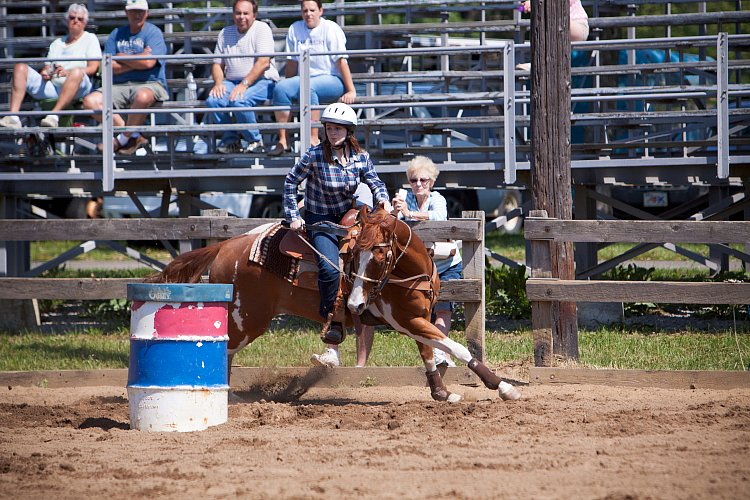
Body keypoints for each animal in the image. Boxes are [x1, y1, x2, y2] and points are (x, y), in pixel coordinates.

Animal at [149, 205, 520, 404]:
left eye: (380, 256)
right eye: (354, 257)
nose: (355, 303)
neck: (410, 272)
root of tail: (226, 246)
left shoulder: (418, 316)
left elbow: (430, 353)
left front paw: (442, 393)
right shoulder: (405, 320)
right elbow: (457, 348)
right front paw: (503, 387)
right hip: (248, 319)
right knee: (223, 346)